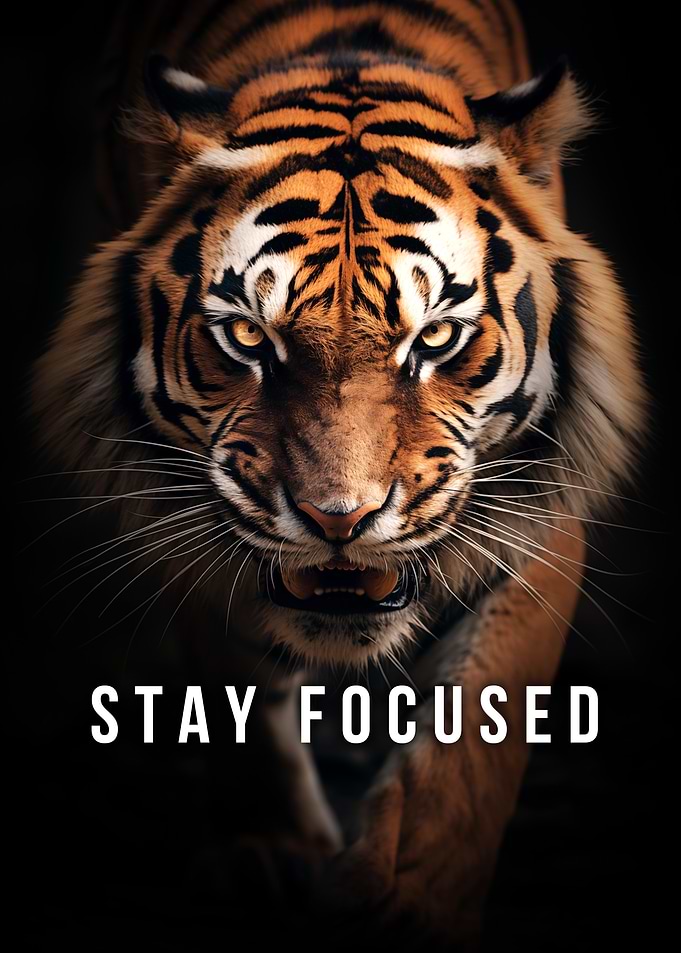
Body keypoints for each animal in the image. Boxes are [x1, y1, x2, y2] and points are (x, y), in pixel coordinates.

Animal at [31, 0, 647, 943]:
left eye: (435, 337)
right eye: (247, 337)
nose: (338, 520)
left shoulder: (535, 501)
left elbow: (475, 732)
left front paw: (409, 902)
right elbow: (234, 689)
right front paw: (271, 853)